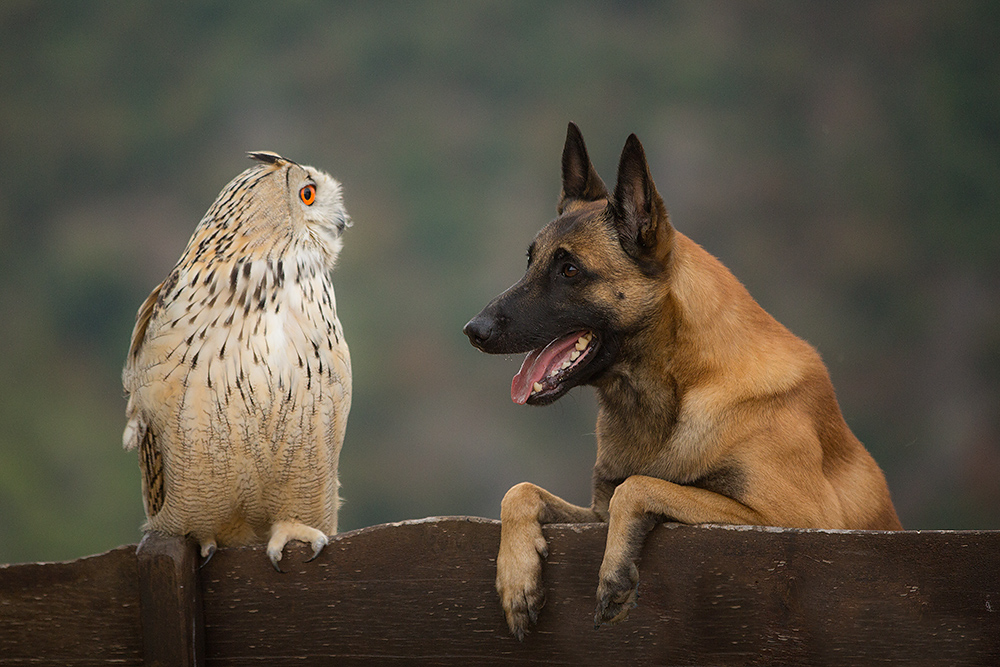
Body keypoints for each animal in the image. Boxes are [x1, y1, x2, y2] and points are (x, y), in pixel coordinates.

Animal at [464, 122, 904, 640]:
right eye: (529, 262)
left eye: (569, 270)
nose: (473, 330)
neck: (676, 388)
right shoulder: (592, 516)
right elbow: (520, 490)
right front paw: (517, 577)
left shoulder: (796, 521)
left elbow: (640, 486)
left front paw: (614, 569)